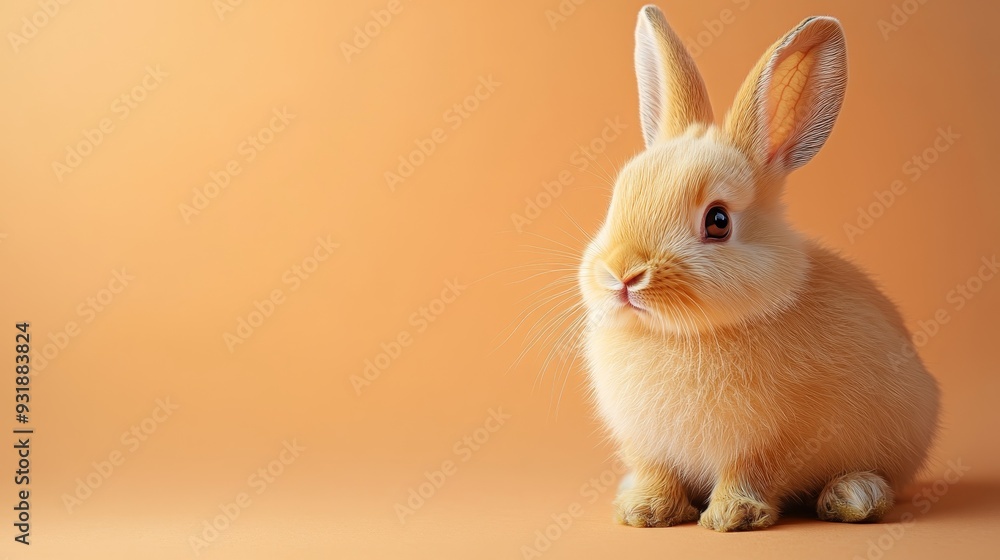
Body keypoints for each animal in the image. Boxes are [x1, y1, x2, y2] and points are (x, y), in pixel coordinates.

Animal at [577, 5, 940, 531]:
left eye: (718, 221)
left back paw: (853, 497)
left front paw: (733, 517)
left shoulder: (771, 443)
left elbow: (749, 473)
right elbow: (656, 473)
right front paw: (644, 511)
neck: (679, 334)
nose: (623, 275)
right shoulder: (647, 445)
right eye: (617, 198)